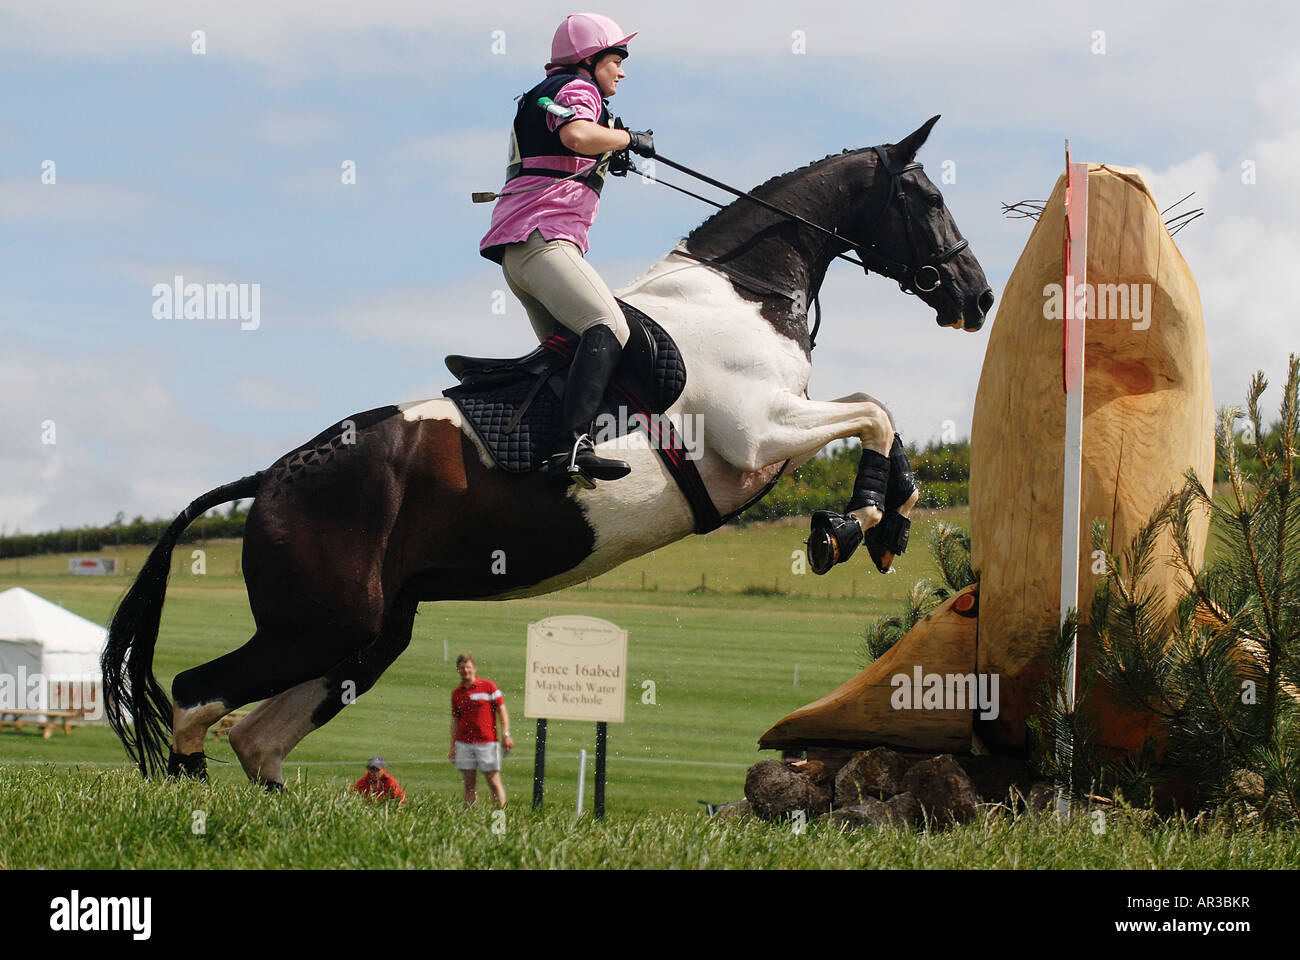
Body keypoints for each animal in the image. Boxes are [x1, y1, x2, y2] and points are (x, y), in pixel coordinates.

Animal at [104, 113, 993, 785]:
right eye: (927, 197)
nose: (977, 296)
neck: (744, 291)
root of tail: (271, 480)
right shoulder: (759, 431)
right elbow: (873, 414)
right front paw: (848, 527)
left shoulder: (782, 428)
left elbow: (881, 417)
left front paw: (885, 527)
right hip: (320, 623)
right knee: (195, 695)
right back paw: (190, 800)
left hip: (367, 633)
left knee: (258, 738)